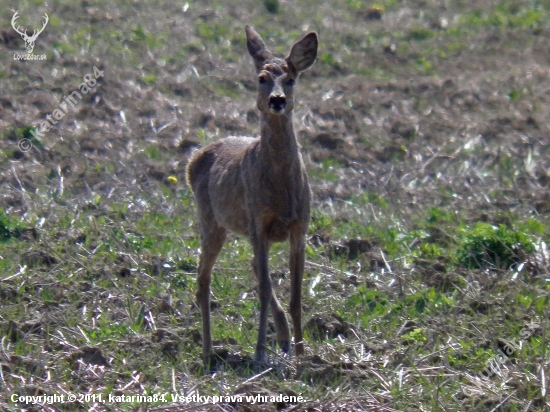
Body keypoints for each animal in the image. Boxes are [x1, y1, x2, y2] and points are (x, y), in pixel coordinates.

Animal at [187, 26, 320, 364]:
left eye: (291, 78)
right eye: (261, 77)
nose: (277, 100)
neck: (282, 190)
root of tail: (193, 160)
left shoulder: (299, 228)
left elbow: (295, 295)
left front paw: (303, 355)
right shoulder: (257, 222)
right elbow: (262, 291)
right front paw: (260, 352)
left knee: (252, 269)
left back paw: (283, 338)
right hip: (211, 220)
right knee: (203, 278)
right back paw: (208, 351)